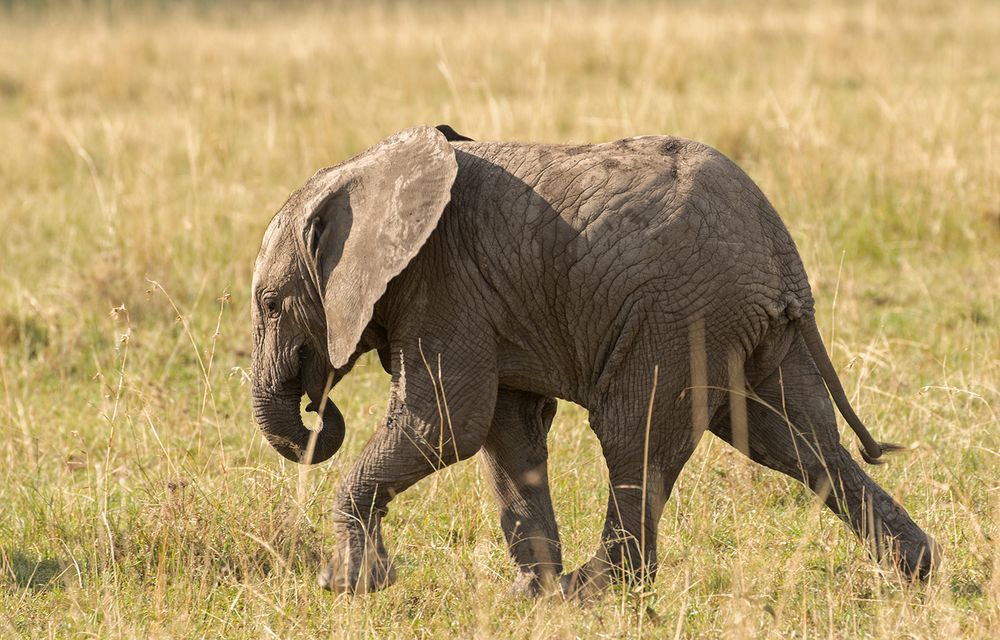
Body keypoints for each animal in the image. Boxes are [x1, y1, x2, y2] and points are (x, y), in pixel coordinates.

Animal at [250, 126, 936, 600]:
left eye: (270, 303)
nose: (317, 408)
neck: (370, 172)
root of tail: (782, 254)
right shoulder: (485, 297)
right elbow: (506, 434)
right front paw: (528, 596)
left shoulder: (443, 283)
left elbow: (445, 423)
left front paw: (347, 586)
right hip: (750, 328)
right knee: (796, 440)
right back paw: (917, 572)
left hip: (681, 316)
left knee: (635, 437)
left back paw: (598, 590)